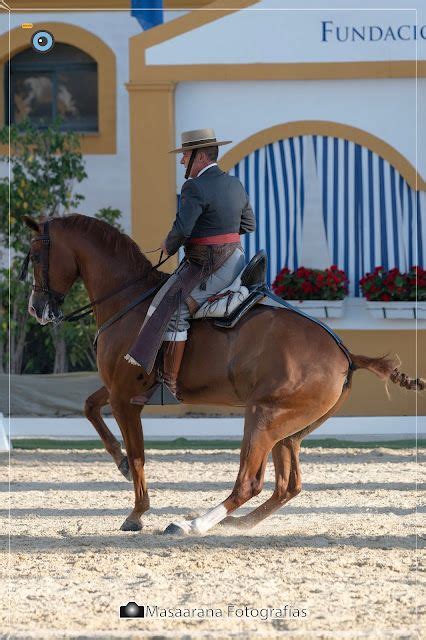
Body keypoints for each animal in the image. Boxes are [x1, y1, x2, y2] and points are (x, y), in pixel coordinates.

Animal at [24, 215, 422, 536]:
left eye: (36, 255)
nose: (36, 309)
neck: (130, 300)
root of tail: (344, 354)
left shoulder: (125, 398)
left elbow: (138, 455)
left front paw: (136, 513)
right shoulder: (119, 389)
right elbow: (89, 407)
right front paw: (120, 464)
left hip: (263, 417)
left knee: (250, 483)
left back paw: (193, 524)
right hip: (288, 431)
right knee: (287, 486)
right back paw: (236, 523)